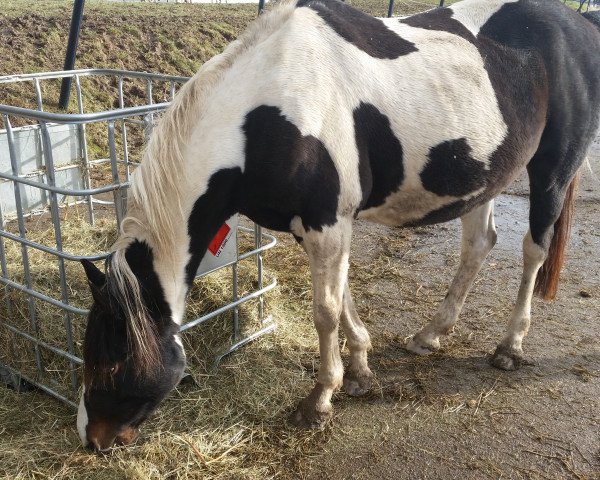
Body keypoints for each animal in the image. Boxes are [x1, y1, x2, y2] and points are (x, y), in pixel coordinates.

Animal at [76, 0, 600, 450]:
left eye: (113, 363)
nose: (92, 440)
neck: (270, 113)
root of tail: (580, 24)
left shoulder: (327, 222)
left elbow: (324, 312)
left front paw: (320, 400)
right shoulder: (322, 226)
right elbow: (343, 297)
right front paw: (362, 369)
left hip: (552, 172)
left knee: (534, 250)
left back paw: (510, 344)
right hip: (484, 176)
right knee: (479, 245)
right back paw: (429, 334)